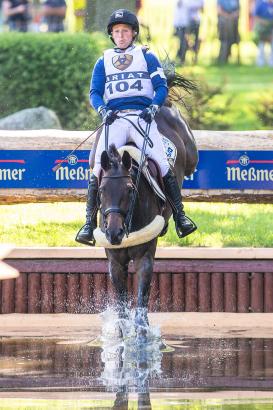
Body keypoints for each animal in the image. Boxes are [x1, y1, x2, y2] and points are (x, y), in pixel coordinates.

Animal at [93, 95, 198, 336]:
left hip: (188, 154)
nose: (114, 233)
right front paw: (122, 336)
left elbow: (141, 302)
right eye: (101, 191)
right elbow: (122, 307)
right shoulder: (115, 262)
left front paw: (142, 337)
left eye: (131, 190)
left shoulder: (144, 257)